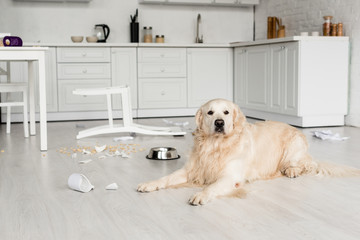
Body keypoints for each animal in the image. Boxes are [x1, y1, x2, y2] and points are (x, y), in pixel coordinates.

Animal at [136, 98, 358, 205]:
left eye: (226, 112)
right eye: (210, 112)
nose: (219, 123)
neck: (216, 146)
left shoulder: (230, 177)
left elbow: (212, 187)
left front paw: (200, 195)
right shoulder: (190, 170)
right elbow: (166, 178)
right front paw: (149, 184)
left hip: (293, 148)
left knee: (304, 164)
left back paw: (292, 170)